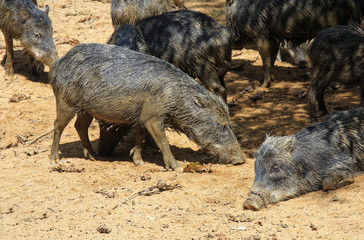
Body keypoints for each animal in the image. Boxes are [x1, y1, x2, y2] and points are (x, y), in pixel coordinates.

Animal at [48, 43, 246, 171]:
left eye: (229, 124)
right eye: (221, 125)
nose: (242, 159)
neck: (174, 99)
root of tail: (57, 64)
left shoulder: (142, 117)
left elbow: (140, 137)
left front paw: (139, 162)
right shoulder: (153, 117)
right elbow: (163, 141)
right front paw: (177, 168)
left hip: (86, 109)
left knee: (80, 126)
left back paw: (92, 156)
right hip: (65, 101)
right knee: (58, 125)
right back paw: (54, 160)